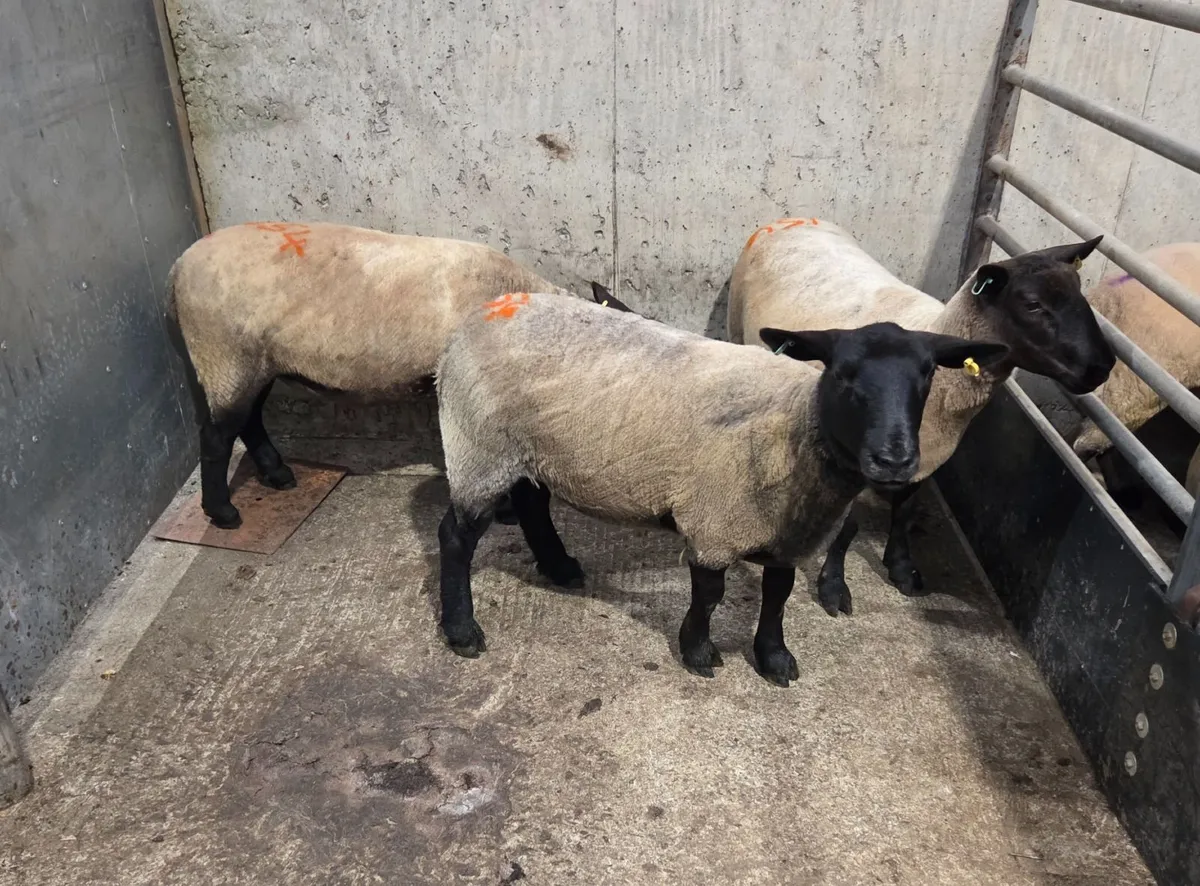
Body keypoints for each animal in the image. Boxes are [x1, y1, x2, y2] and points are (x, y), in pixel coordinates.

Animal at [167, 221, 575, 529]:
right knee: (217, 435)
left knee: (248, 420)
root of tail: (178, 267)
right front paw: (506, 512)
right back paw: (223, 512)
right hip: (222, 353)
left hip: (256, 360)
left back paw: (277, 474)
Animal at [435, 292, 1007, 685]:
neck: (795, 426)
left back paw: (559, 567)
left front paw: (774, 657)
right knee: (456, 537)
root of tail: (477, 316)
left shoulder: (786, 535)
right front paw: (698, 652)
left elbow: (778, 595)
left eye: (928, 374)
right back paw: (462, 630)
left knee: (532, 504)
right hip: (479, 446)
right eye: (842, 374)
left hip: (529, 450)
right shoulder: (714, 519)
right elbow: (710, 595)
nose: (895, 460)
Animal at [727, 218, 1114, 613]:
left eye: (1081, 293)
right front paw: (833, 586)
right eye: (1033, 304)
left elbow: (906, 511)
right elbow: (848, 528)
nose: (1103, 366)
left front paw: (902, 568)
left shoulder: (926, 455)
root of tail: (794, 219)